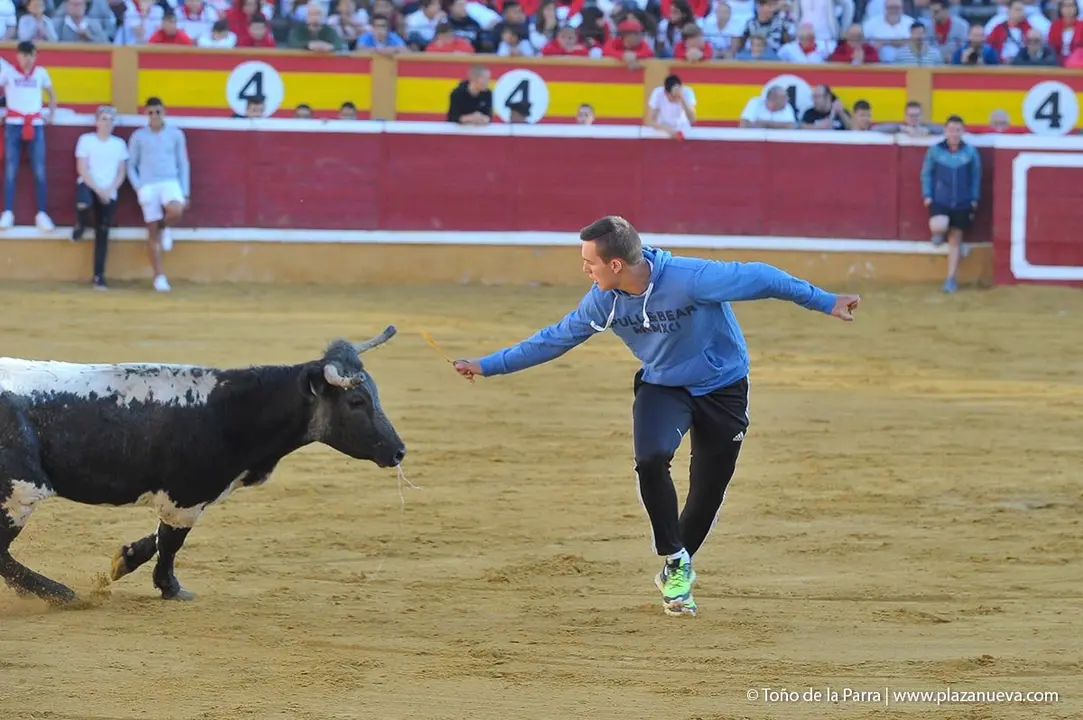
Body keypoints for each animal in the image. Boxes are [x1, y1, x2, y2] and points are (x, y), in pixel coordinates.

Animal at [0, 326, 405, 605]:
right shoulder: (188, 495)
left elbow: (158, 538)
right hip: (21, 491)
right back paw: (57, 594)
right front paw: (171, 589)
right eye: (356, 401)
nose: (399, 451)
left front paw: (124, 560)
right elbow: (171, 542)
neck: (230, 409)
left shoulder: (183, 497)